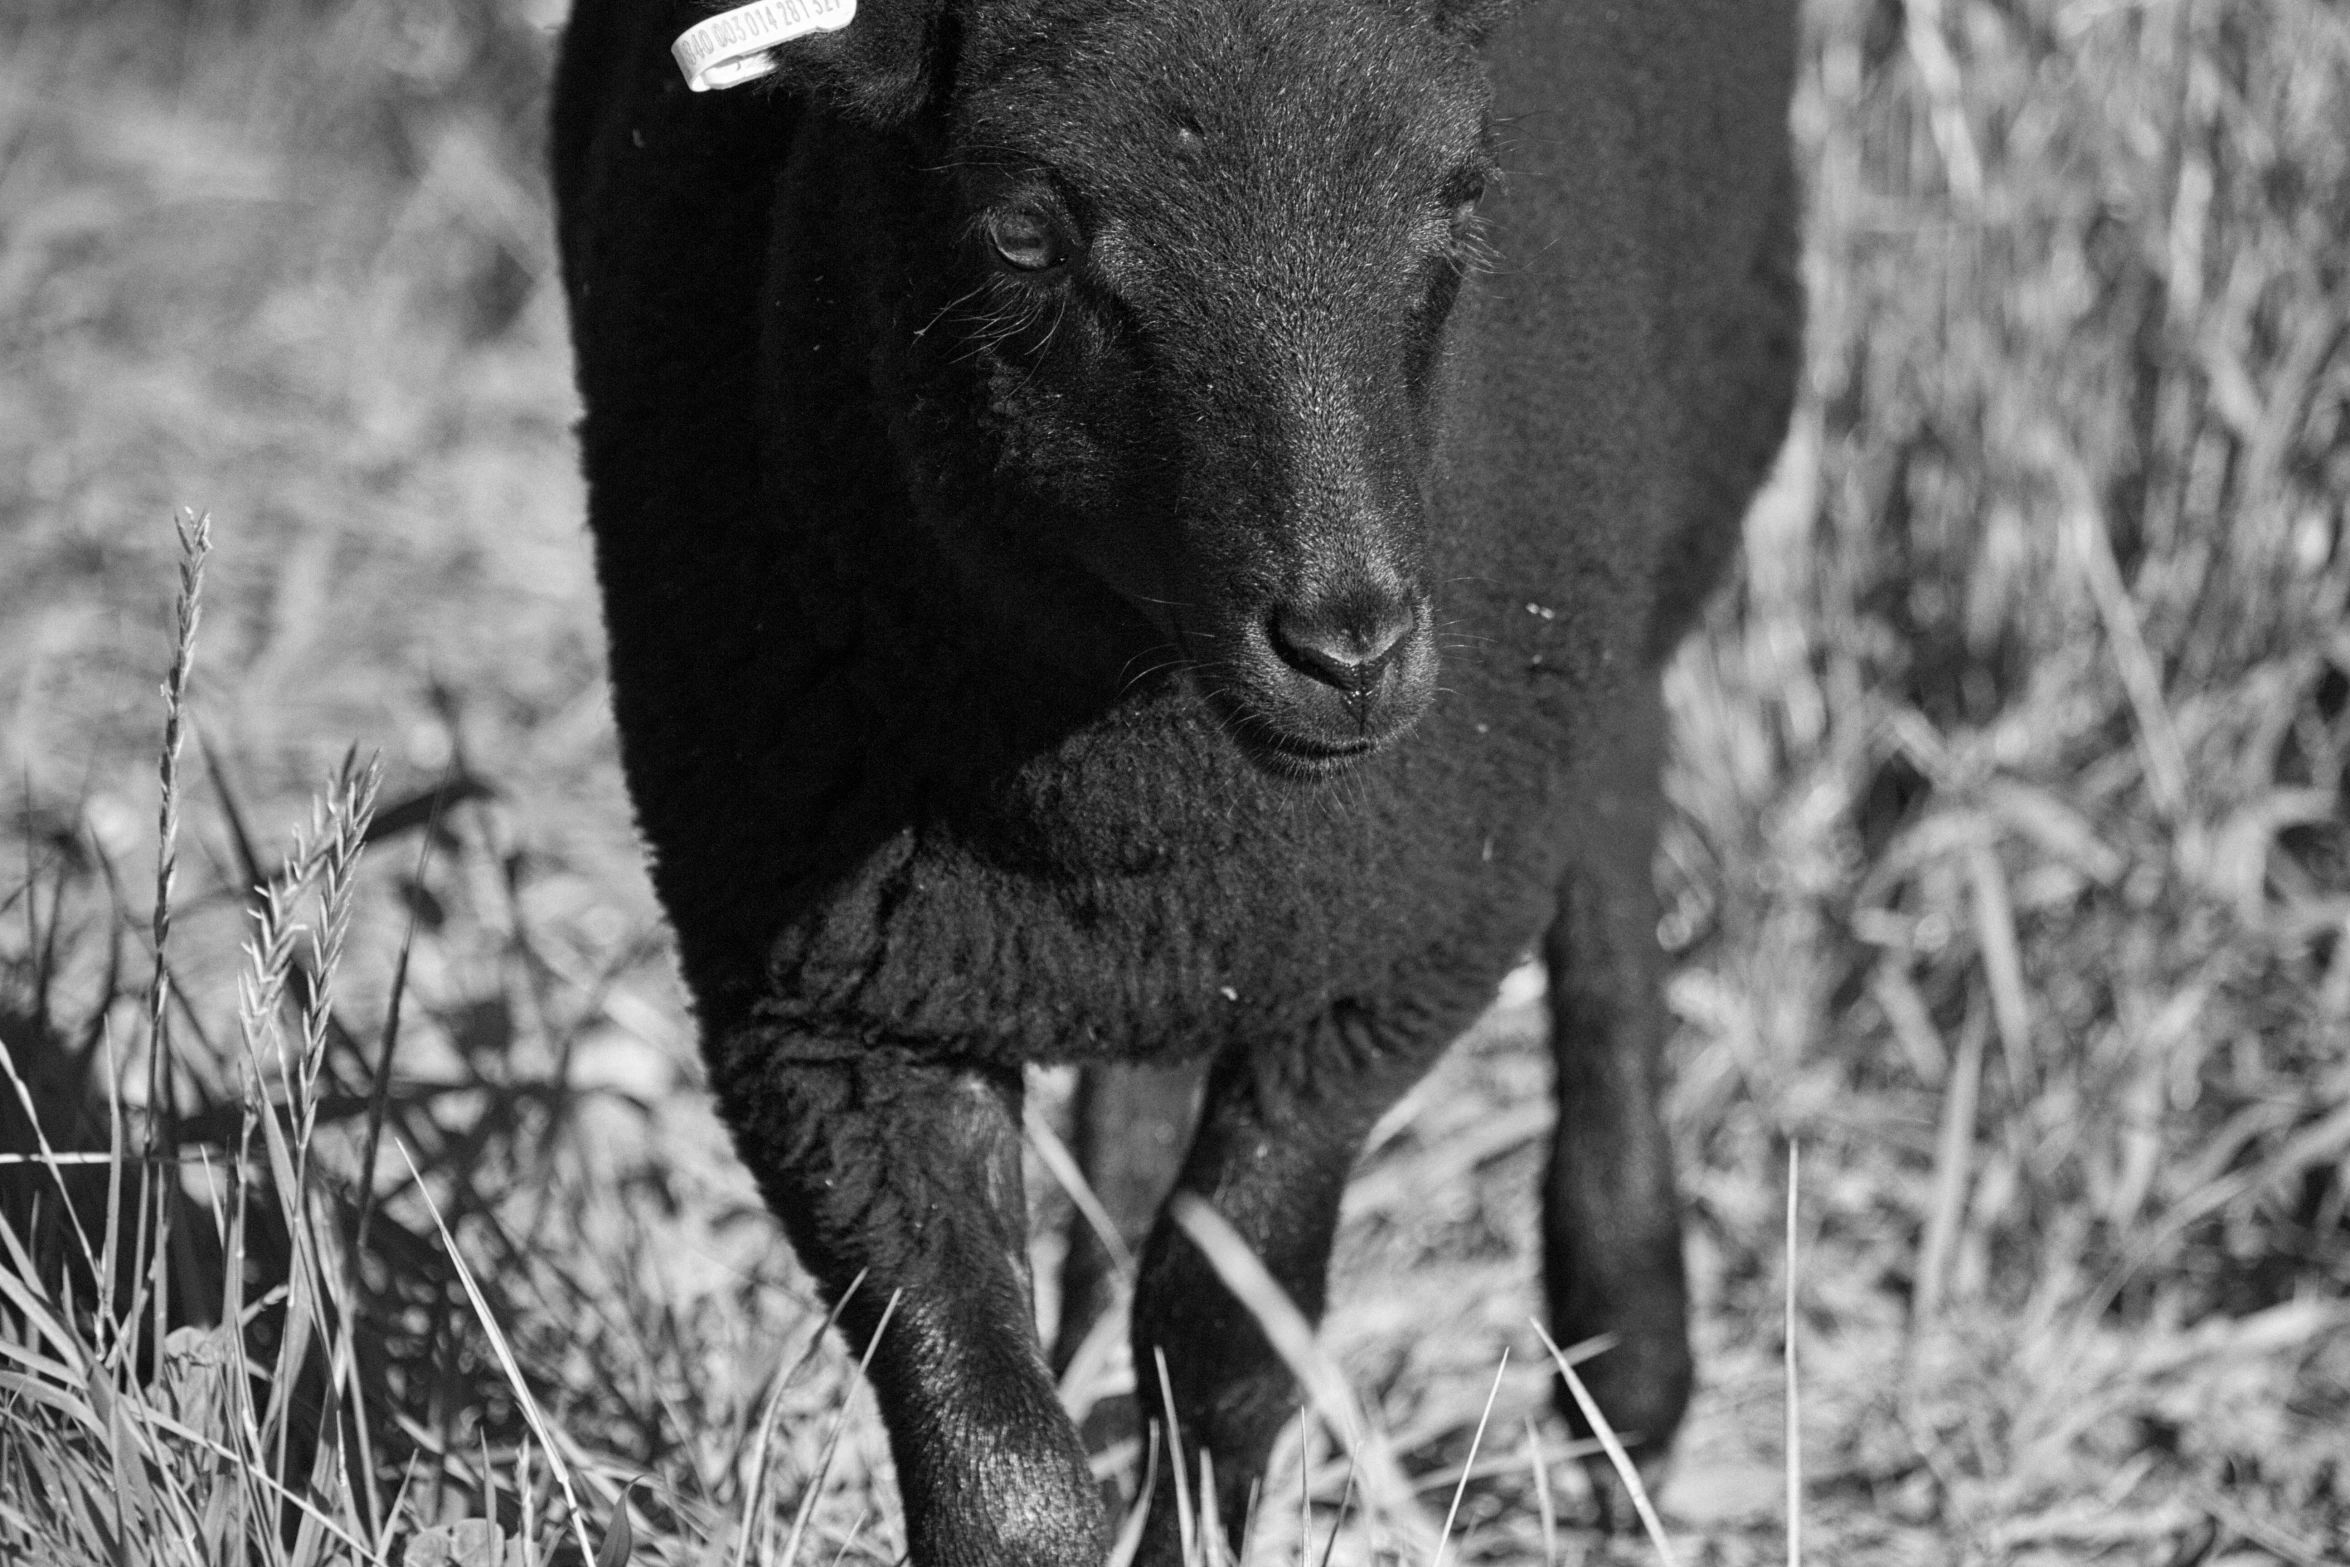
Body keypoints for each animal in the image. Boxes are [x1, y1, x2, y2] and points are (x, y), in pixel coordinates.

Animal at [549, 3, 1795, 1559]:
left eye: (1461, 194)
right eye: (1024, 231)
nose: (1347, 646)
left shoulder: (1383, 964)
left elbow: (1220, 1339)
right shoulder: (819, 1005)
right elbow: (994, 1452)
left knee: (1615, 828)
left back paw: (1625, 1364)